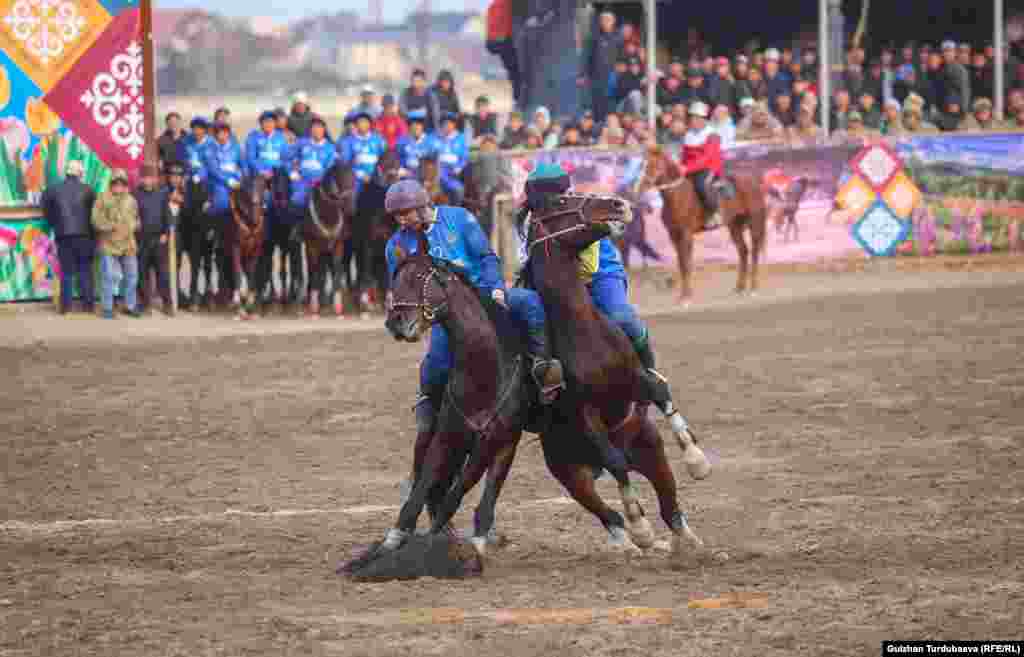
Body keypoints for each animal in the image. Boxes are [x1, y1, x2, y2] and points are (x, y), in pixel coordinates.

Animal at [227, 173, 268, 317]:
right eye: (248, 186)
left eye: (262, 185)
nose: (255, 202)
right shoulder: (235, 248)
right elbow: (237, 273)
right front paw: (239, 306)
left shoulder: (255, 250)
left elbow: (251, 273)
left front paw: (250, 303)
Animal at [299, 162, 356, 317]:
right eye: (336, 182)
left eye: (353, 179)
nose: (351, 207)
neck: (327, 215)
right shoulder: (312, 246)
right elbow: (314, 271)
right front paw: (314, 307)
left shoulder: (338, 245)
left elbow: (336, 269)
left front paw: (338, 307)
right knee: (317, 271)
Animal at [520, 192, 712, 560]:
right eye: (562, 200)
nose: (618, 204)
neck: (585, 331)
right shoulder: (584, 411)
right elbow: (615, 462)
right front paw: (641, 528)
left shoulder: (636, 379)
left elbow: (661, 393)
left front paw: (697, 460)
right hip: (574, 478)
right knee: (608, 512)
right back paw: (632, 542)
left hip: (651, 453)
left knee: (669, 505)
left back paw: (689, 542)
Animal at [638, 144, 770, 300]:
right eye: (644, 164)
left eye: (656, 165)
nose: (642, 185)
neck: (677, 196)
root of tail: (754, 181)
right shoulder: (674, 235)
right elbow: (681, 263)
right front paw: (684, 295)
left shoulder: (686, 234)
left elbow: (686, 263)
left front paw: (686, 296)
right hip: (735, 225)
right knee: (743, 251)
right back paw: (739, 288)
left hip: (754, 222)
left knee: (754, 252)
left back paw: (754, 288)